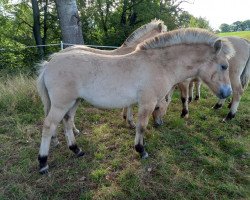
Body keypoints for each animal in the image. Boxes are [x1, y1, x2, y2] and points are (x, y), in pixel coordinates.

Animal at [36, 28, 234, 173]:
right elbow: (141, 127)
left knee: (68, 122)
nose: (227, 93)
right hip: (61, 104)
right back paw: (43, 163)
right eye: (224, 66)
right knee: (49, 126)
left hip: (74, 102)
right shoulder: (147, 103)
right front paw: (141, 150)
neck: (159, 64)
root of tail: (49, 64)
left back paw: (76, 150)